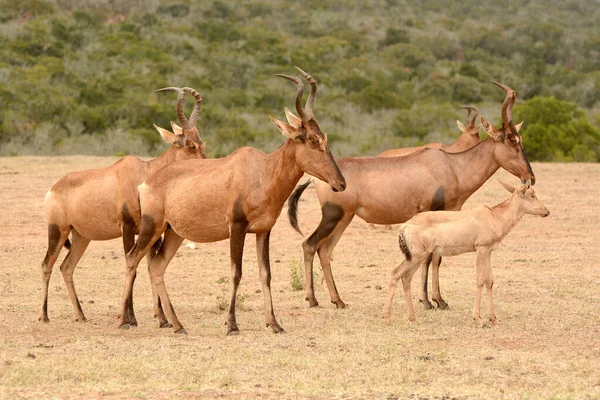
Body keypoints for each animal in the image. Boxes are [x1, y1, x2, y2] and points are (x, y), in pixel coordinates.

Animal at [41, 86, 206, 324]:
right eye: (189, 145)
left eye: (203, 143)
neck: (142, 174)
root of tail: (53, 188)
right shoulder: (127, 228)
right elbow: (133, 267)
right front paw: (129, 318)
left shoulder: (151, 232)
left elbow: (149, 267)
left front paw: (162, 319)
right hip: (58, 231)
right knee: (47, 264)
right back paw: (44, 316)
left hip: (81, 236)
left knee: (66, 267)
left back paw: (81, 315)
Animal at [118, 69, 346, 334]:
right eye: (311, 140)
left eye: (324, 137)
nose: (341, 184)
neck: (261, 171)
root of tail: (147, 182)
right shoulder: (236, 228)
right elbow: (236, 272)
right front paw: (232, 324)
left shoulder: (263, 231)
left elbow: (266, 273)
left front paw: (274, 323)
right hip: (151, 226)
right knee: (132, 258)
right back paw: (125, 320)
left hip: (174, 232)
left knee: (157, 266)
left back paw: (176, 324)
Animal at [288, 81, 532, 310]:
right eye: (511, 140)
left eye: (520, 138)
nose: (530, 177)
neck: (452, 165)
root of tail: (318, 178)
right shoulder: (430, 213)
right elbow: (430, 257)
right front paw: (429, 301)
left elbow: (438, 258)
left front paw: (439, 300)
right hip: (332, 215)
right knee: (309, 245)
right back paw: (312, 299)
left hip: (344, 218)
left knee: (325, 250)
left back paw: (338, 300)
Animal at [384, 180, 548, 324]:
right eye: (532, 194)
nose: (546, 212)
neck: (493, 215)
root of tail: (404, 226)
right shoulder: (481, 249)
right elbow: (480, 280)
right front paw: (479, 319)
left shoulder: (488, 251)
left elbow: (490, 281)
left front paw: (493, 318)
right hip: (417, 257)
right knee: (396, 273)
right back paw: (388, 317)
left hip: (416, 258)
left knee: (406, 278)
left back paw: (412, 318)